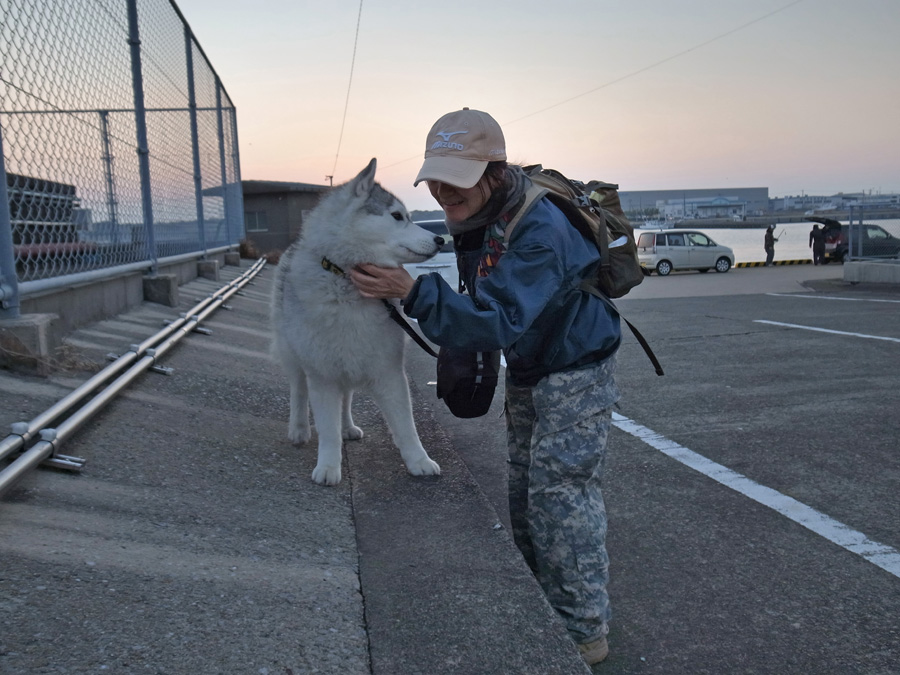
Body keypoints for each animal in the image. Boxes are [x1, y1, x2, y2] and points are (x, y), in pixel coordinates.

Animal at [272, 158, 444, 486]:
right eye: (397, 216)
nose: (441, 239)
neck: (346, 281)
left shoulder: (388, 371)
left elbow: (406, 425)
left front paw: (419, 460)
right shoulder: (322, 375)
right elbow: (326, 428)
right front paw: (328, 466)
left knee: (347, 398)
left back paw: (348, 428)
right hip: (295, 355)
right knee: (298, 390)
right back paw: (298, 429)